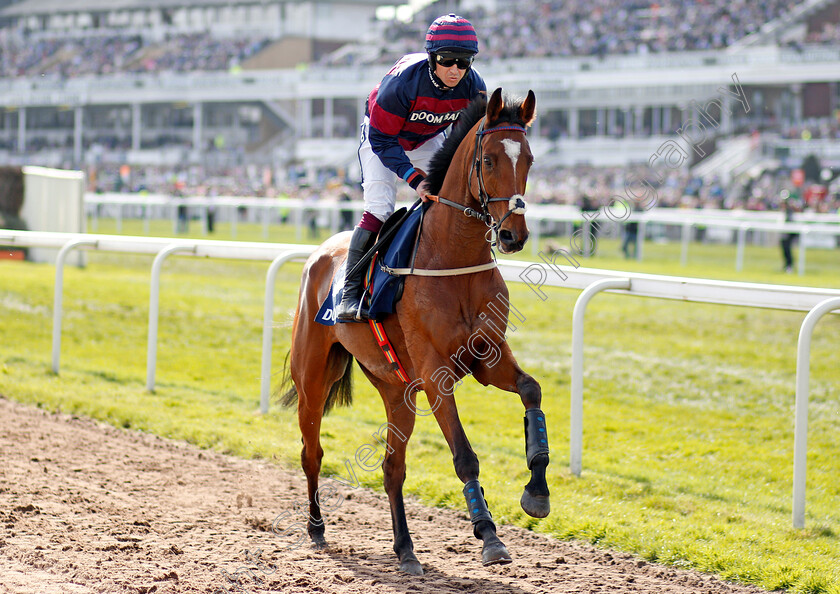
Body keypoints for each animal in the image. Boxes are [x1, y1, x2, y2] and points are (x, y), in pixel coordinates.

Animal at [278, 88, 548, 572]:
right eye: (490, 160)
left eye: (530, 159)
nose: (513, 236)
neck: (452, 258)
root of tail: (320, 254)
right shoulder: (436, 374)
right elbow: (465, 457)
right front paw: (488, 535)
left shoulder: (487, 356)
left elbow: (531, 389)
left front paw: (537, 491)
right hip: (313, 380)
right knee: (312, 453)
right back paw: (316, 528)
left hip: (396, 391)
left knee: (392, 469)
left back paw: (405, 549)